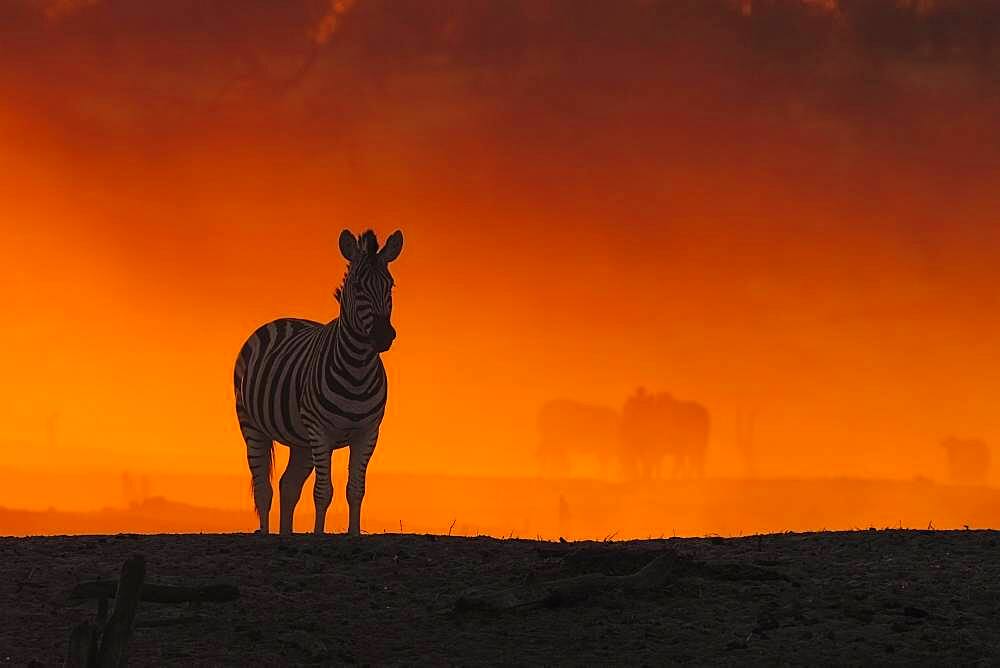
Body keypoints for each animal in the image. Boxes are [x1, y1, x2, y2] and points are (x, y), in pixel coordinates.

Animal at [233, 227, 402, 536]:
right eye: (357, 286)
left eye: (391, 285)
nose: (384, 335)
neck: (358, 368)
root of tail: (284, 319)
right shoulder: (321, 431)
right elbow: (323, 492)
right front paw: (319, 535)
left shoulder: (368, 433)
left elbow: (355, 490)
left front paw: (353, 534)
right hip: (252, 425)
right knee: (263, 488)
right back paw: (266, 533)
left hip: (301, 441)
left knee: (287, 485)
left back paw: (286, 535)